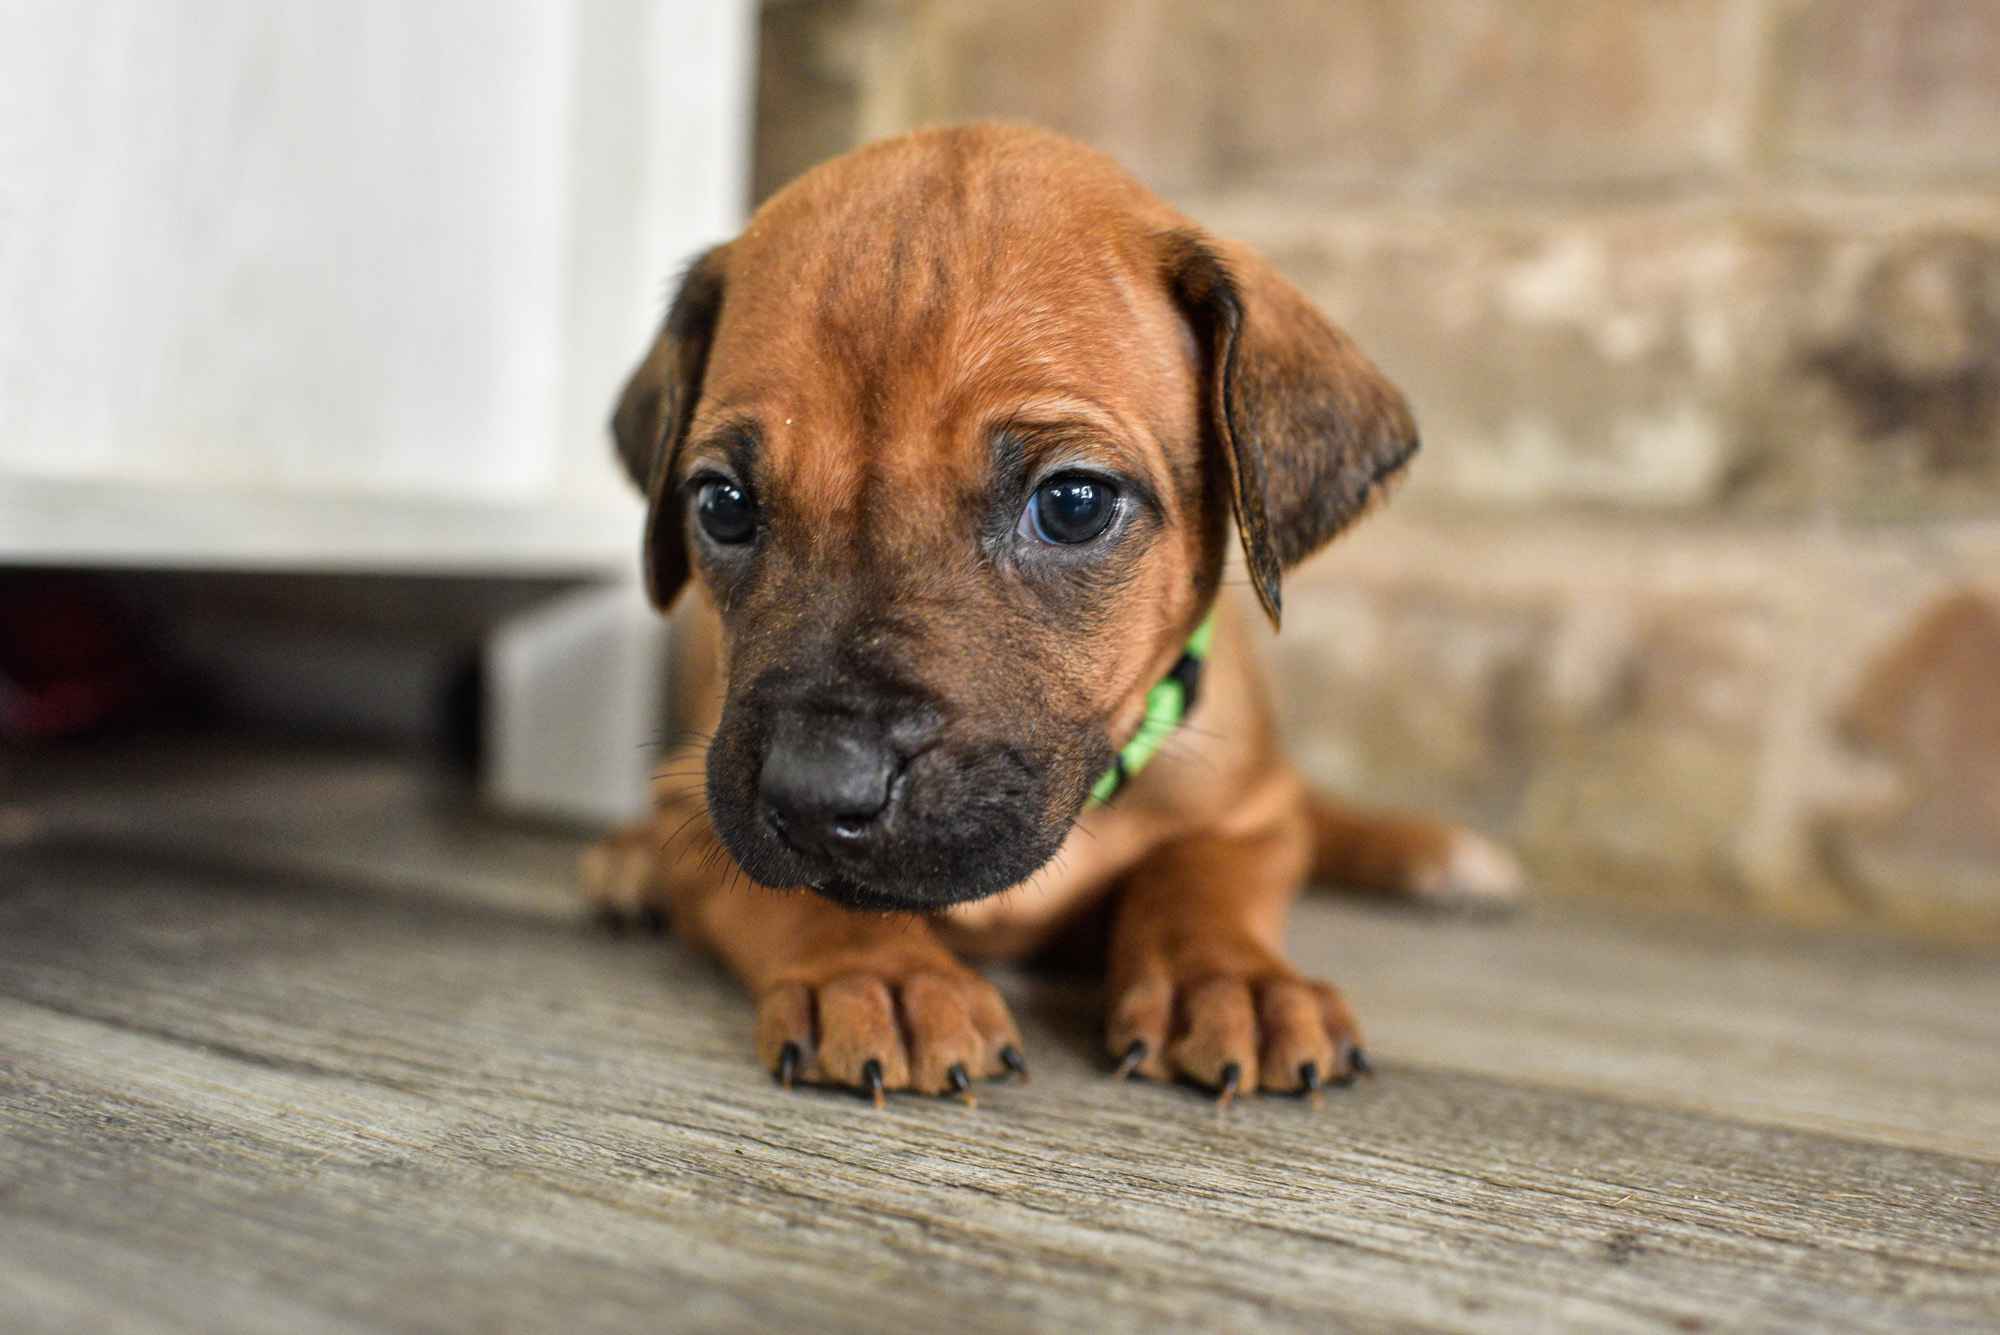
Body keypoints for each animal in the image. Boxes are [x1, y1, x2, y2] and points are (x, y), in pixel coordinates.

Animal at [580, 124, 1512, 1103]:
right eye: (722, 505)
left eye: (1073, 504)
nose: (815, 790)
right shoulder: (699, 798)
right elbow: (796, 891)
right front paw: (880, 969)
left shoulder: (1248, 816)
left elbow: (1198, 874)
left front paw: (1231, 978)